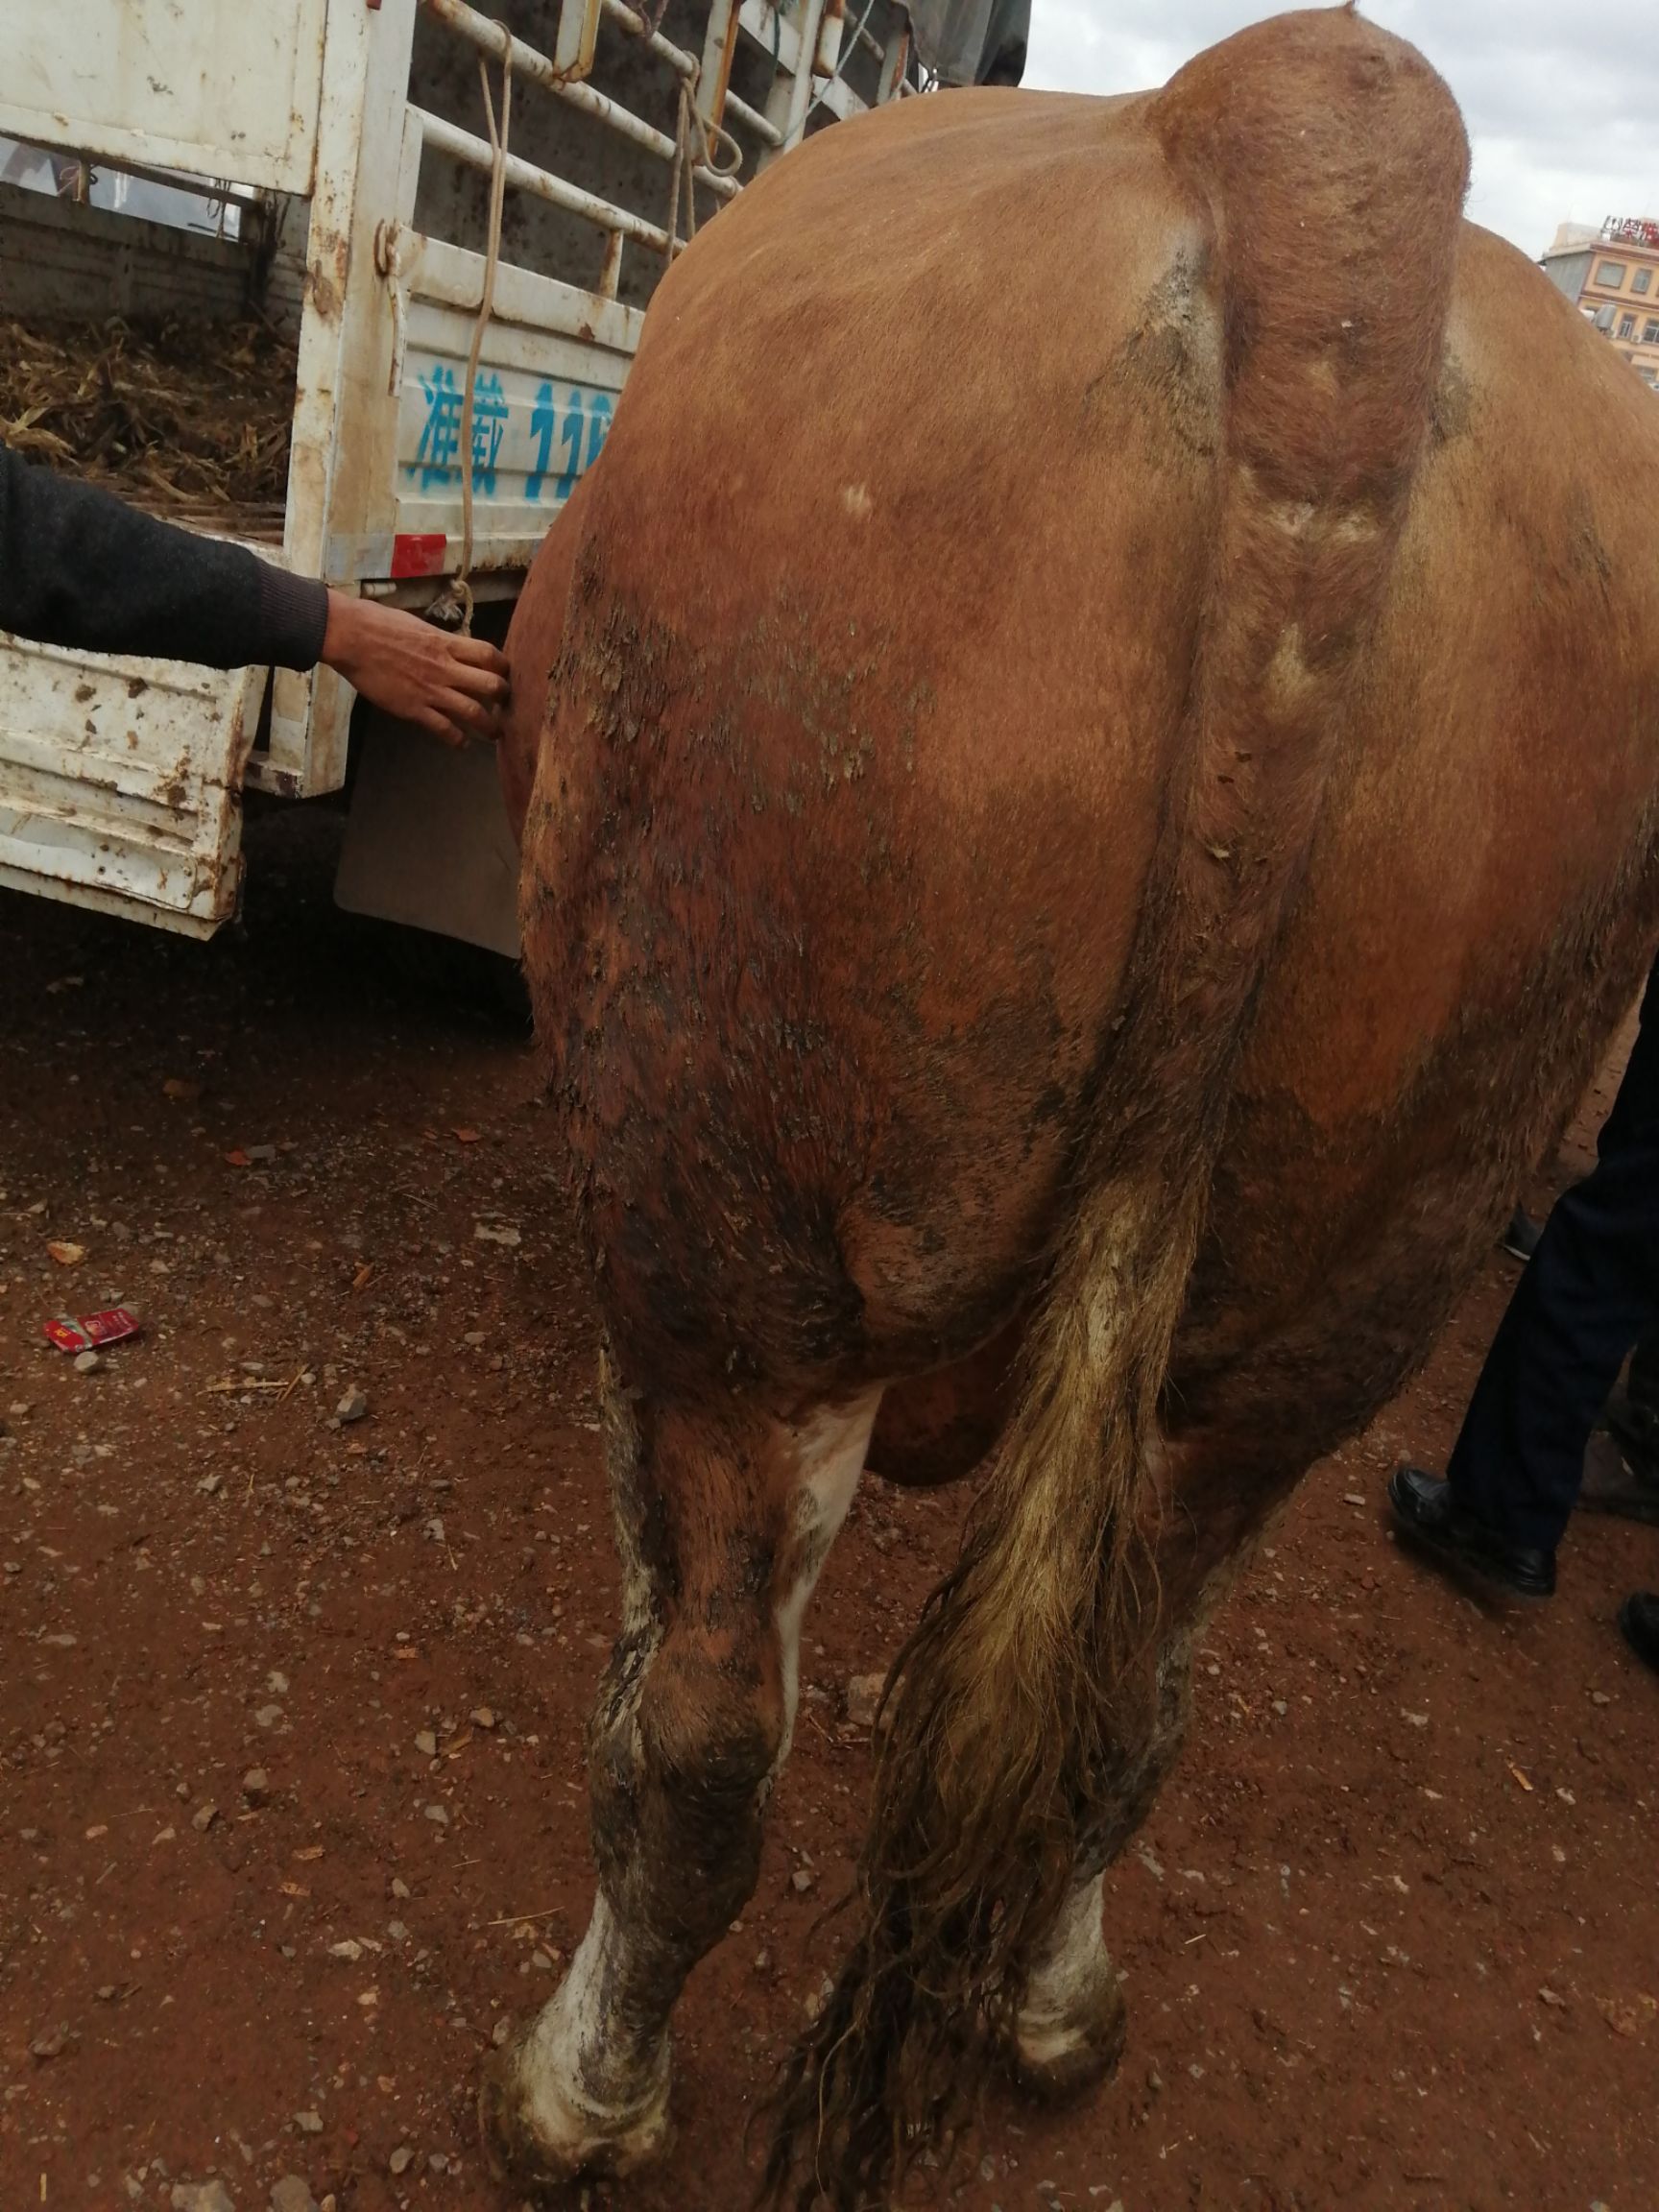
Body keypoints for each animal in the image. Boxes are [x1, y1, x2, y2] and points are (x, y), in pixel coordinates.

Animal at [484, 9, 1659, 2202]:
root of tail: (1294, 121)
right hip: (1338, 1293)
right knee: (1136, 1699)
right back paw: (1052, 2005)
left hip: (733, 1232)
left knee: (702, 1735)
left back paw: (578, 2091)